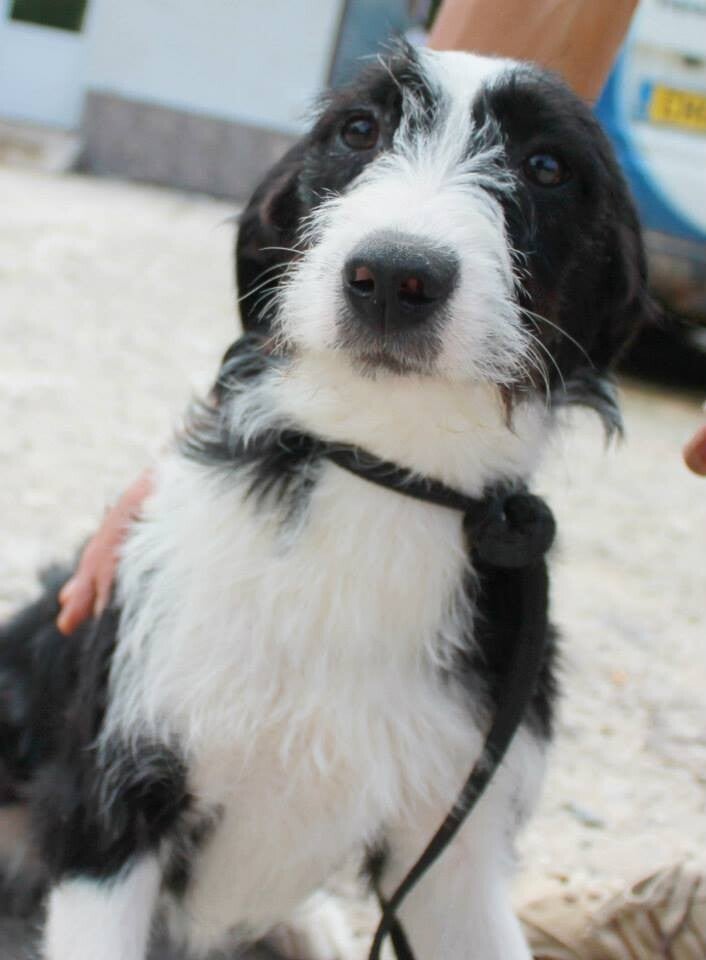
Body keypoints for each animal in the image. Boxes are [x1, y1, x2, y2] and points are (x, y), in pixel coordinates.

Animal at [0, 46, 654, 960]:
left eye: (547, 167)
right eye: (358, 129)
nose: (395, 275)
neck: (375, 475)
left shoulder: (452, 856)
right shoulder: (110, 810)